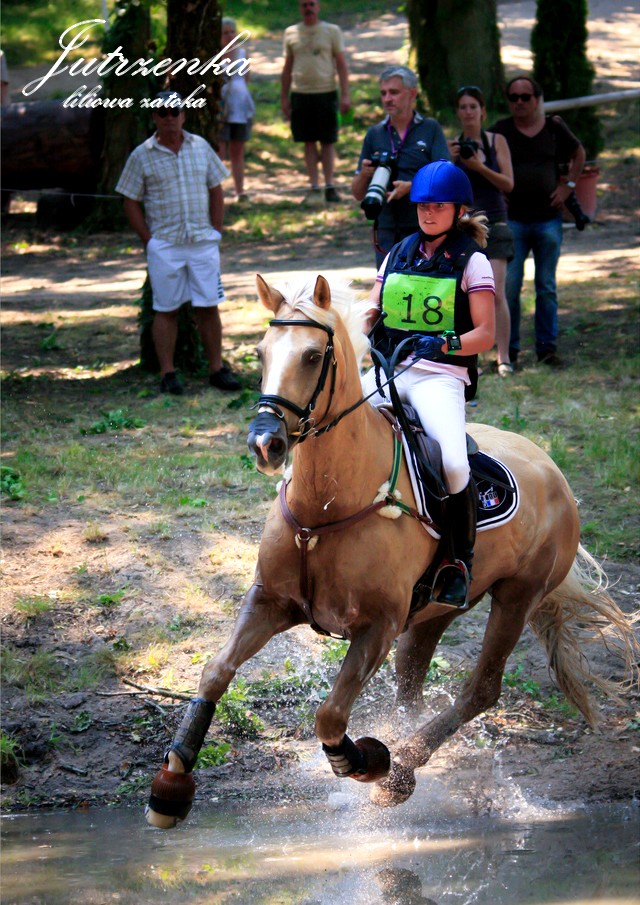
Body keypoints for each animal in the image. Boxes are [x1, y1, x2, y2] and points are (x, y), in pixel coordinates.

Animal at [146, 274, 638, 828]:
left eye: (312, 356)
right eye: (260, 352)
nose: (264, 444)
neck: (326, 507)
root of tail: (551, 467)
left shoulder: (376, 626)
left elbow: (330, 715)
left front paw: (367, 760)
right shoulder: (269, 601)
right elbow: (215, 673)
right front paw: (170, 786)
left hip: (518, 596)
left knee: (481, 689)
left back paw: (399, 772)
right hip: (436, 611)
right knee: (413, 685)